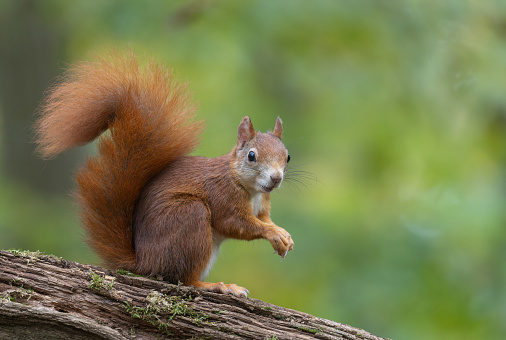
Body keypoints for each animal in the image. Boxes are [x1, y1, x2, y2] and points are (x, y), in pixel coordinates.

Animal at [35, 51, 294, 296]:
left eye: (287, 156)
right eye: (251, 156)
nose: (276, 178)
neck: (249, 188)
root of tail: (145, 262)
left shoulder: (262, 205)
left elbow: (263, 219)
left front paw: (283, 235)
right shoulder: (224, 197)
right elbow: (237, 224)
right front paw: (273, 232)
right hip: (189, 218)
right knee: (184, 279)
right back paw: (217, 286)